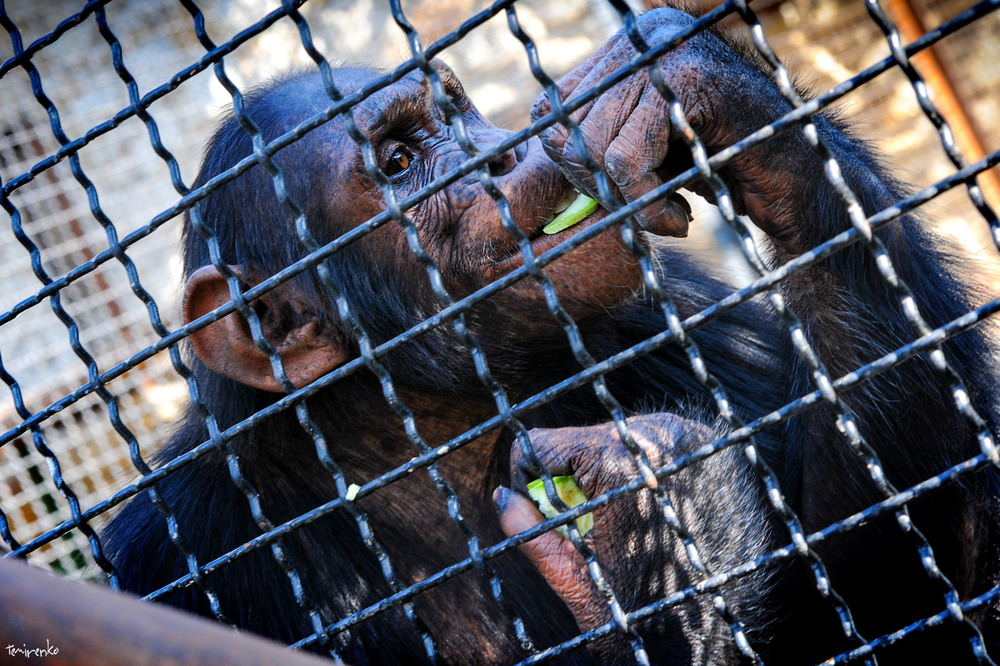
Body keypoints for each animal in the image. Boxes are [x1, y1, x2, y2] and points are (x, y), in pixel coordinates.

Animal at [103, 6, 1000, 664]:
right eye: (397, 161)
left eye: (453, 111)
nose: (495, 152)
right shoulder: (166, 559)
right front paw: (656, 533)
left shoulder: (680, 315)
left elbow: (895, 586)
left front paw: (689, 79)